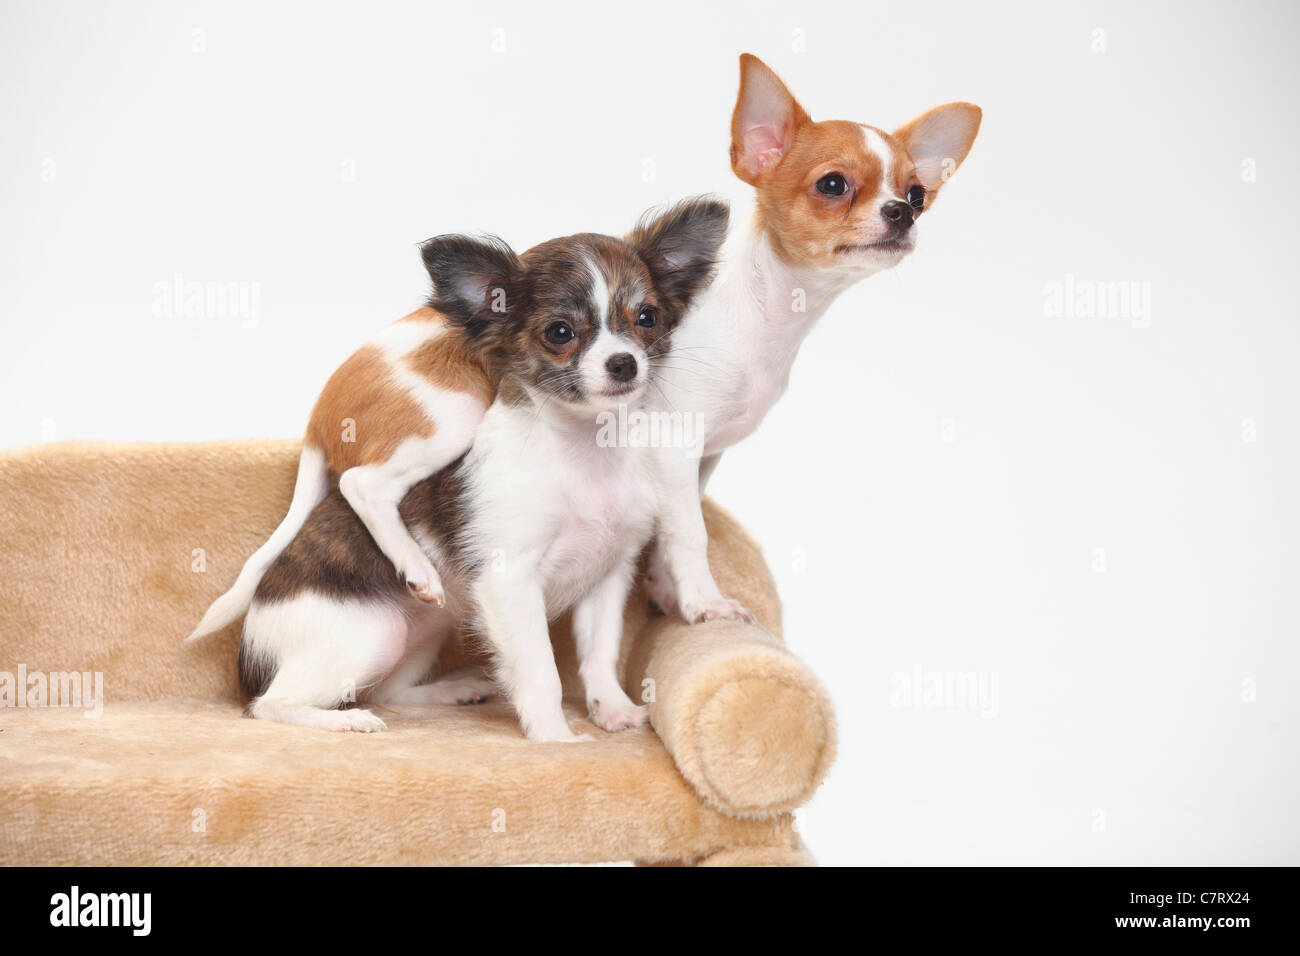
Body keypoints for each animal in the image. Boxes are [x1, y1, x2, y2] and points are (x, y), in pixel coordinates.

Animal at [639, 54, 982, 621]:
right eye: (833, 185)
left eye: (916, 194)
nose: (902, 211)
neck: (770, 318)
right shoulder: (673, 447)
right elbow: (691, 533)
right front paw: (708, 604)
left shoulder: (701, 459)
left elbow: (672, 530)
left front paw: (669, 595)